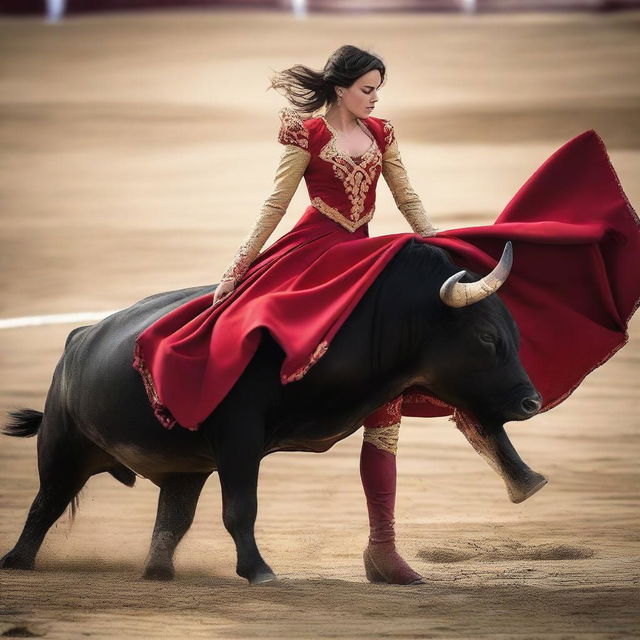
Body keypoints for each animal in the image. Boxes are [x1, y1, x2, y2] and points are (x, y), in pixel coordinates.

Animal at [2, 238, 548, 584]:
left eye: (516, 334)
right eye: (486, 337)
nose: (531, 401)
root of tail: (77, 339)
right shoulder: (239, 439)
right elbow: (241, 507)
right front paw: (259, 571)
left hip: (181, 468)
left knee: (172, 516)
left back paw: (159, 572)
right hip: (63, 447)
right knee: (45, 505)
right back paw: (17, 561)